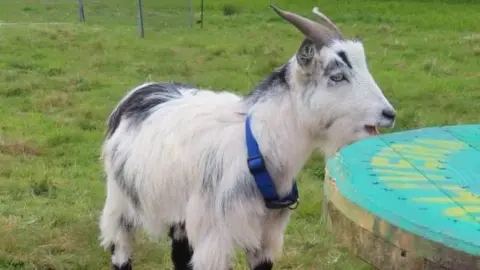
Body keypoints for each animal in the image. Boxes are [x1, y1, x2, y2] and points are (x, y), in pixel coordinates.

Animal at [98, 4, 398, 270]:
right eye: (337, 76)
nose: (389, 114)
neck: (255, 147)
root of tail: (140, 91)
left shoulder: (266, 237)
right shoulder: (215, 238)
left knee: (179, 255)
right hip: (120, 202)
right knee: (120, 249)